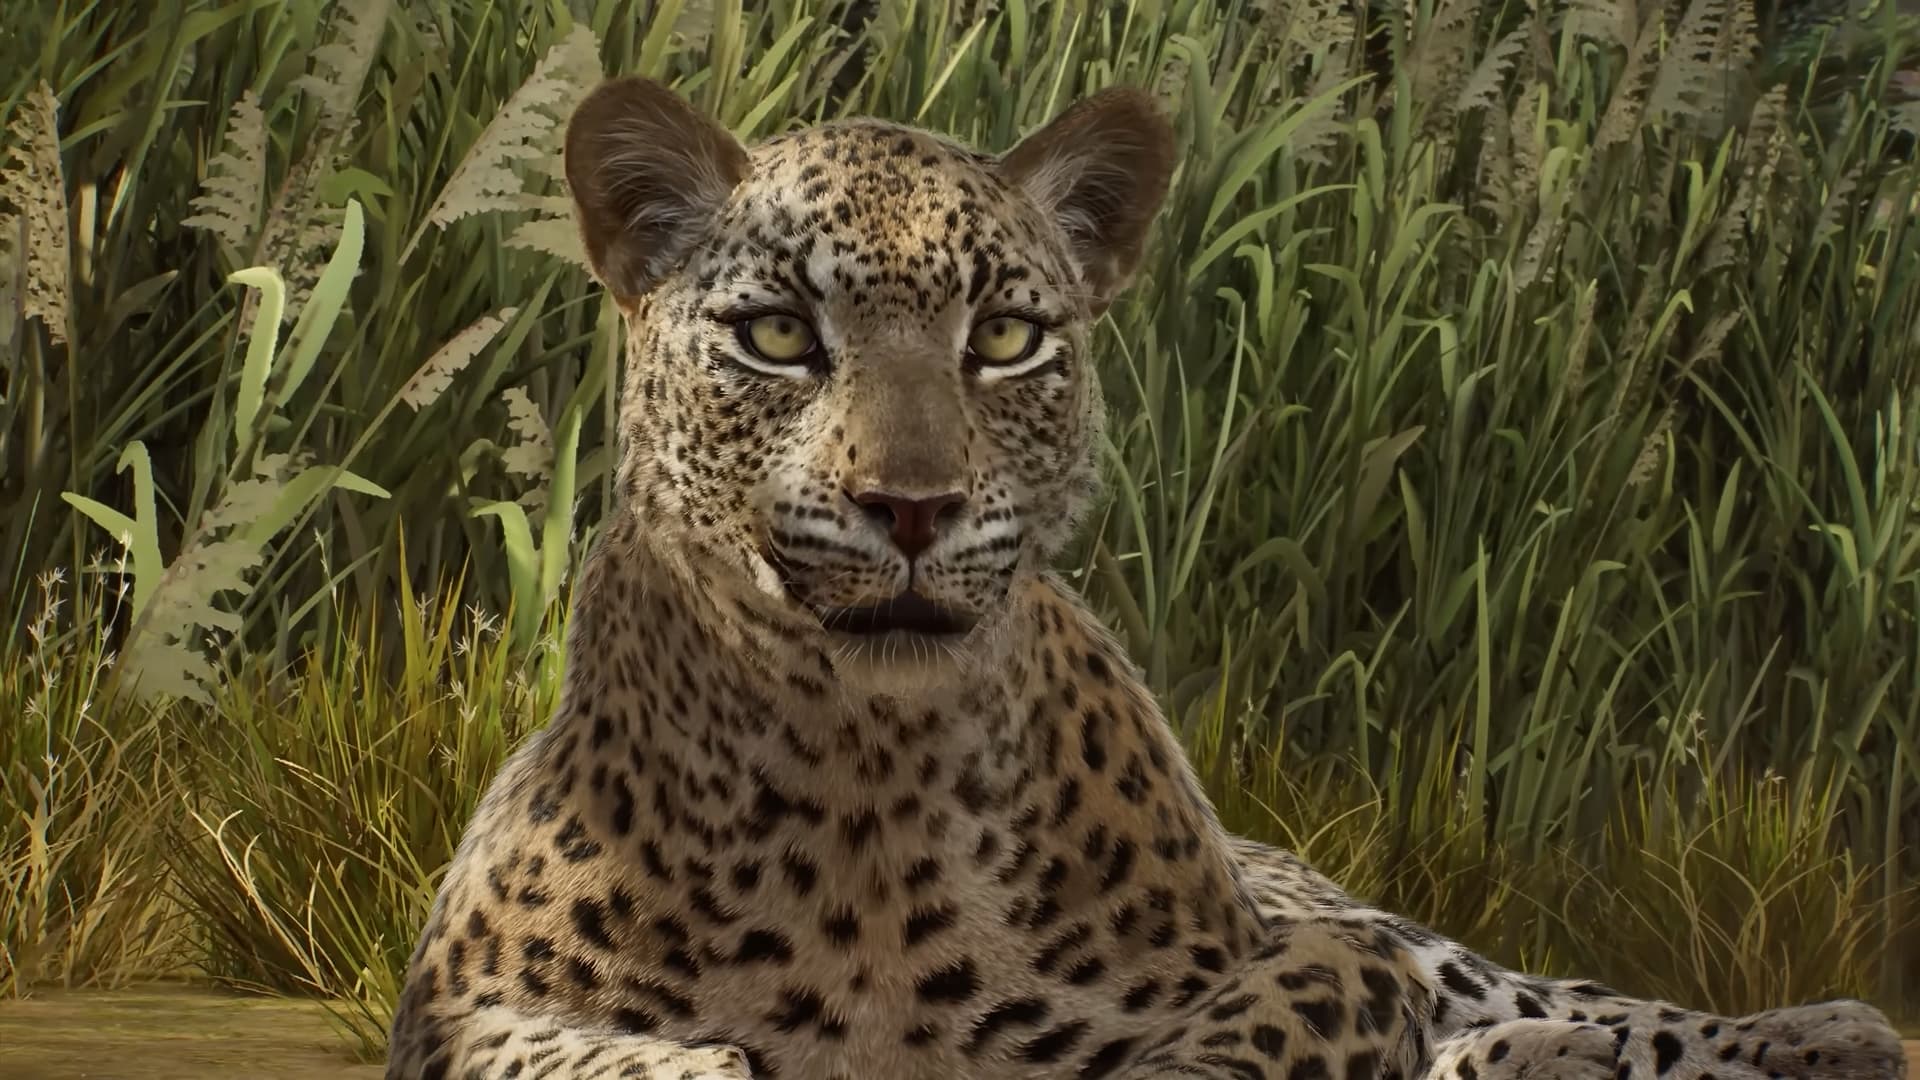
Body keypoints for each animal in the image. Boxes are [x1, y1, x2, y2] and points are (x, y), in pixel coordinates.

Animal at [383, 74, 1910, 1080]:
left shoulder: (1322, 960)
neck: (863, 793)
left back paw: (1813, 1033)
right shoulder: (452, 1010)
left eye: (1005, 339)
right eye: (774, 334)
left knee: (1541, 989)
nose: (912, 508)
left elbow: (1249, 1030)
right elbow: (610, 1054)